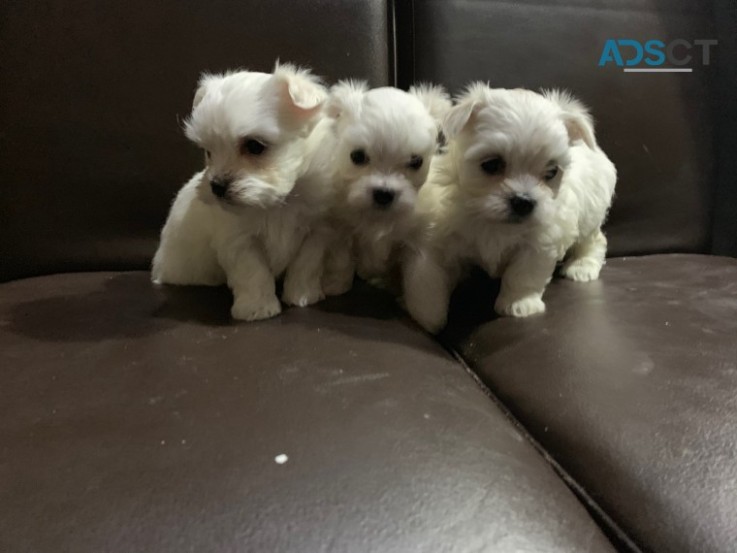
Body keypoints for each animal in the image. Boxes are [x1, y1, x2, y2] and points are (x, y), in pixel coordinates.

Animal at [151, 61, 326, 320]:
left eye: (254, 146)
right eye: (209, 152)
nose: (216, 186)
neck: (277, 202)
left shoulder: (316, 231)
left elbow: (306, 264)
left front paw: (302, 296)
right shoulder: (239, 240)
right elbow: (252, 272)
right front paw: (257, 308)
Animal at [402, 83, 616, 332]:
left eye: (552, 172)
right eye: (492, 164)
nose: (523, 201)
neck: (494, 221)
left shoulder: (540, 241)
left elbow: (524, 273)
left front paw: (519, 304)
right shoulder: (445, 238)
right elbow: (429, 276)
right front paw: (429, 316)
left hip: (590, 214)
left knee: (595, 240)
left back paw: (583, 266)